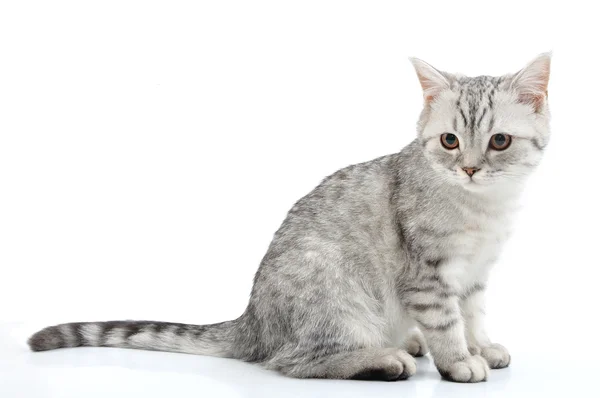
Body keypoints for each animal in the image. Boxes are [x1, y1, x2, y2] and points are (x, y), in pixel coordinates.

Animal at [29, 53, 552, 382]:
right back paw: (385, 359)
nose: (470, 168)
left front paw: (481, 346)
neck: (484, 209)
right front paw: (460, 360)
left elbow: (473, 315)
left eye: (499, 141)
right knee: (292, 361)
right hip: (335, 293)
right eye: (449, 141)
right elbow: (446, 323)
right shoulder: (426, 277)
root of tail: (252, 321)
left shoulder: (475, 274)